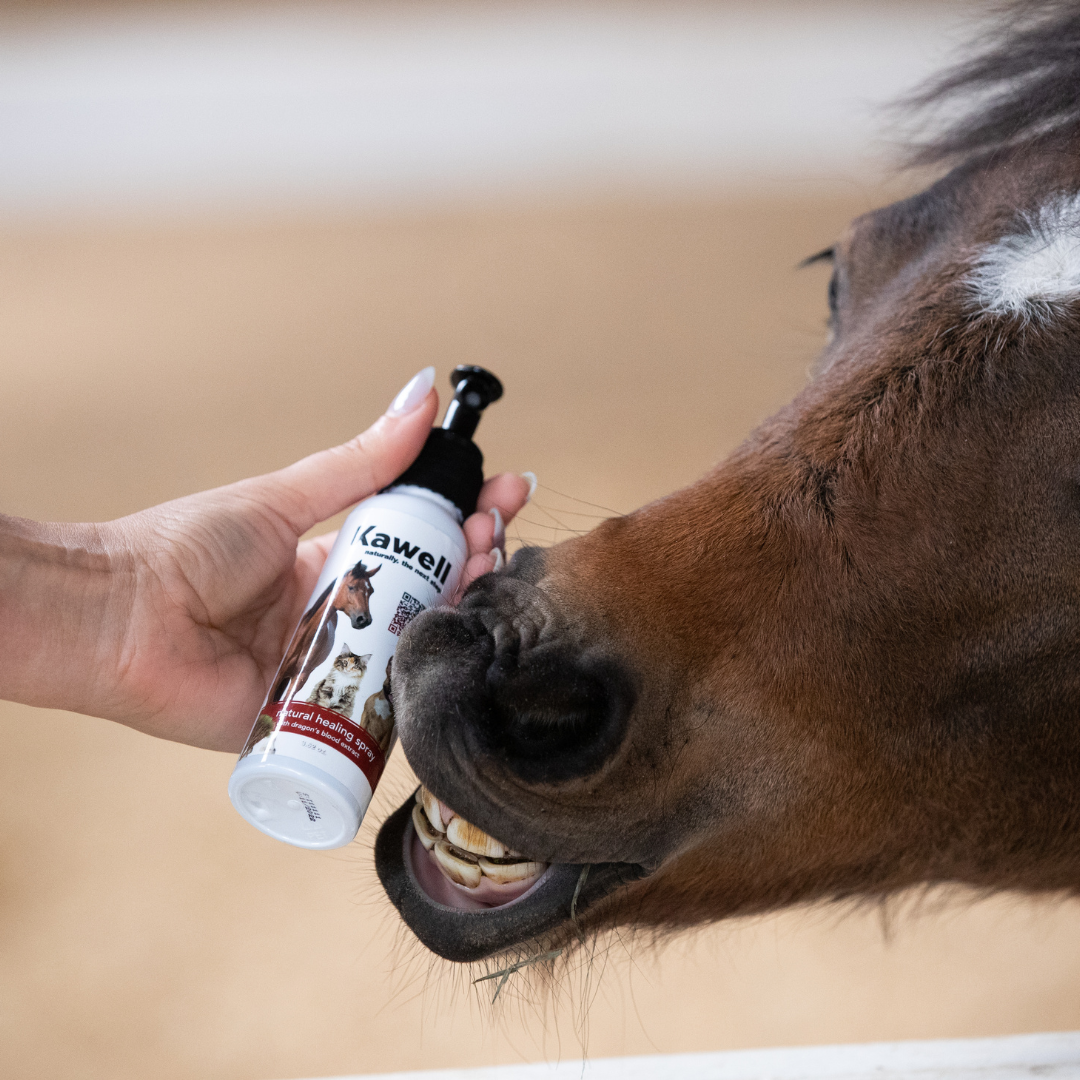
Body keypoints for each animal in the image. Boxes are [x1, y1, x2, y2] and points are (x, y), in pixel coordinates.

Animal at [271, 561, 379, 702]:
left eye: (371, 591)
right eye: (351, 587)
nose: (365, 620)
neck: (305, 640)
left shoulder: (300, 678)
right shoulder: (280, 676)